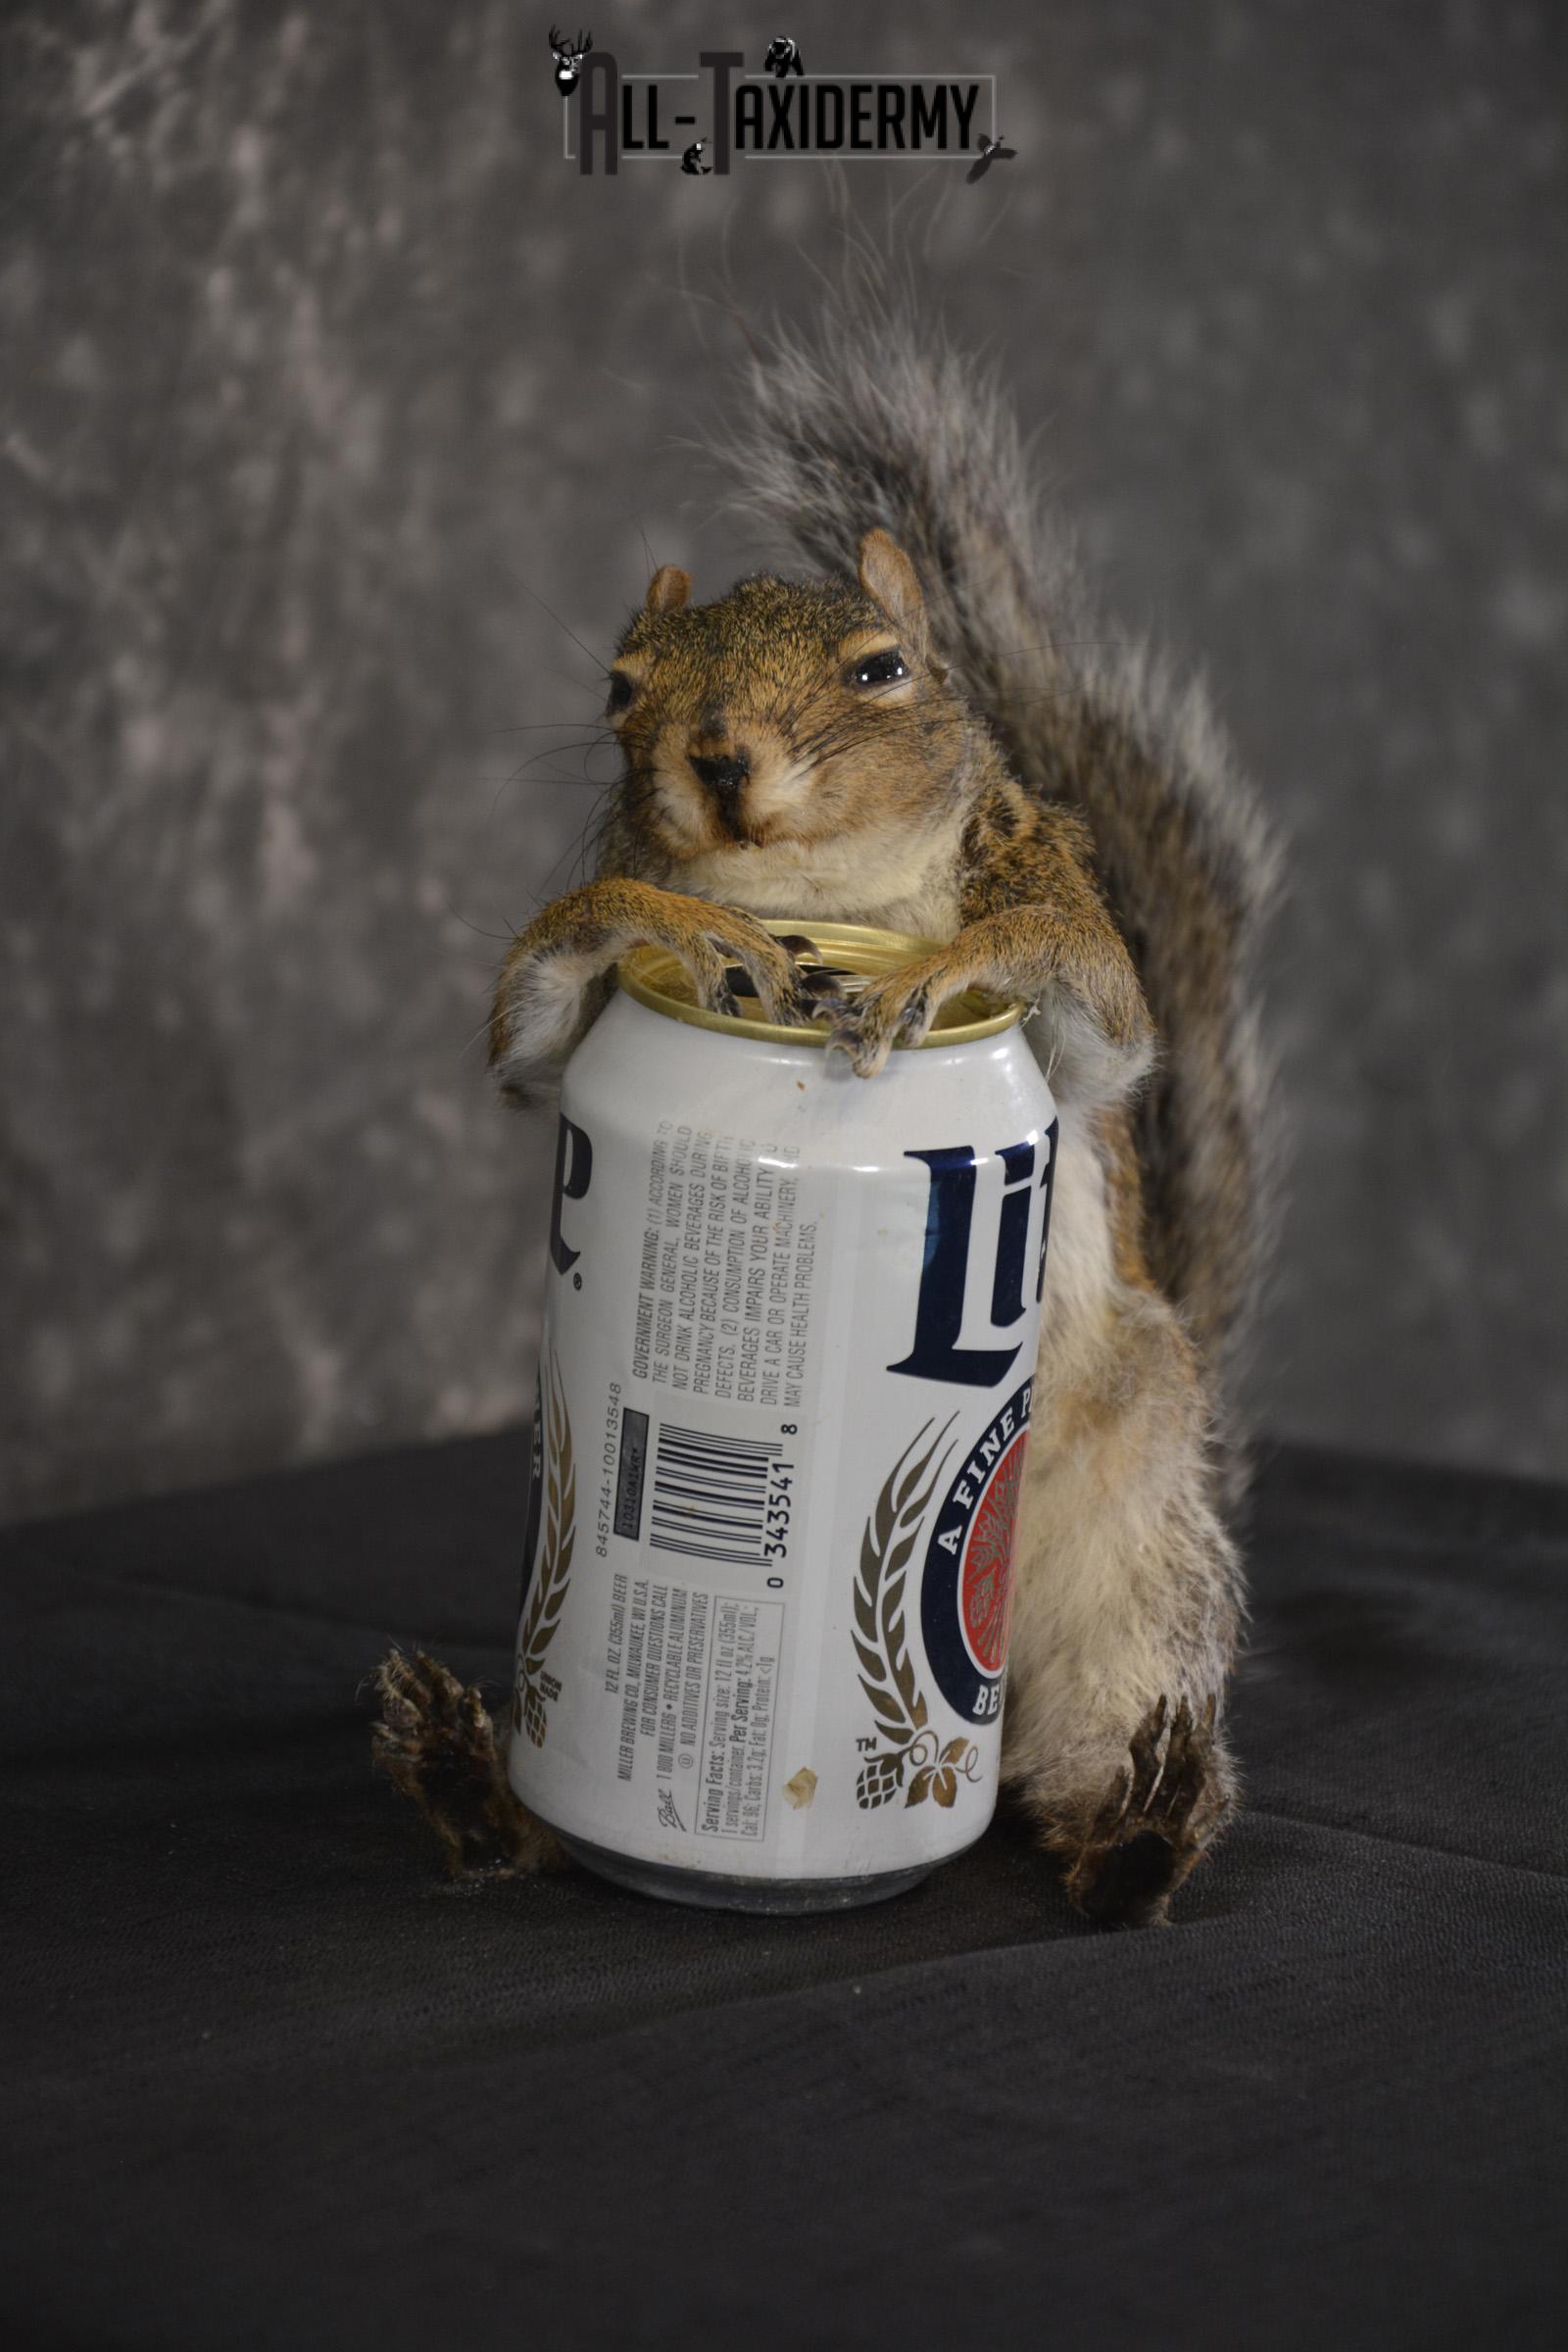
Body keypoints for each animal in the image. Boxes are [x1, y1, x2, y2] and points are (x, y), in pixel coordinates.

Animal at [374, 282, 1278, 1928]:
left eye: (881, 670)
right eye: (620, 686)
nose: (719, 759)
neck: (826, 898)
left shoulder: (1051, 896)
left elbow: (1101, 1014)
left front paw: (941, 974)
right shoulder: (554, 1044)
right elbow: (533, 1016)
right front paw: (679, 930)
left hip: (1128, 1563)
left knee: (1090, 1758)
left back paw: (1143, 1829)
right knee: (537, 1827)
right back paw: (476, 1792)